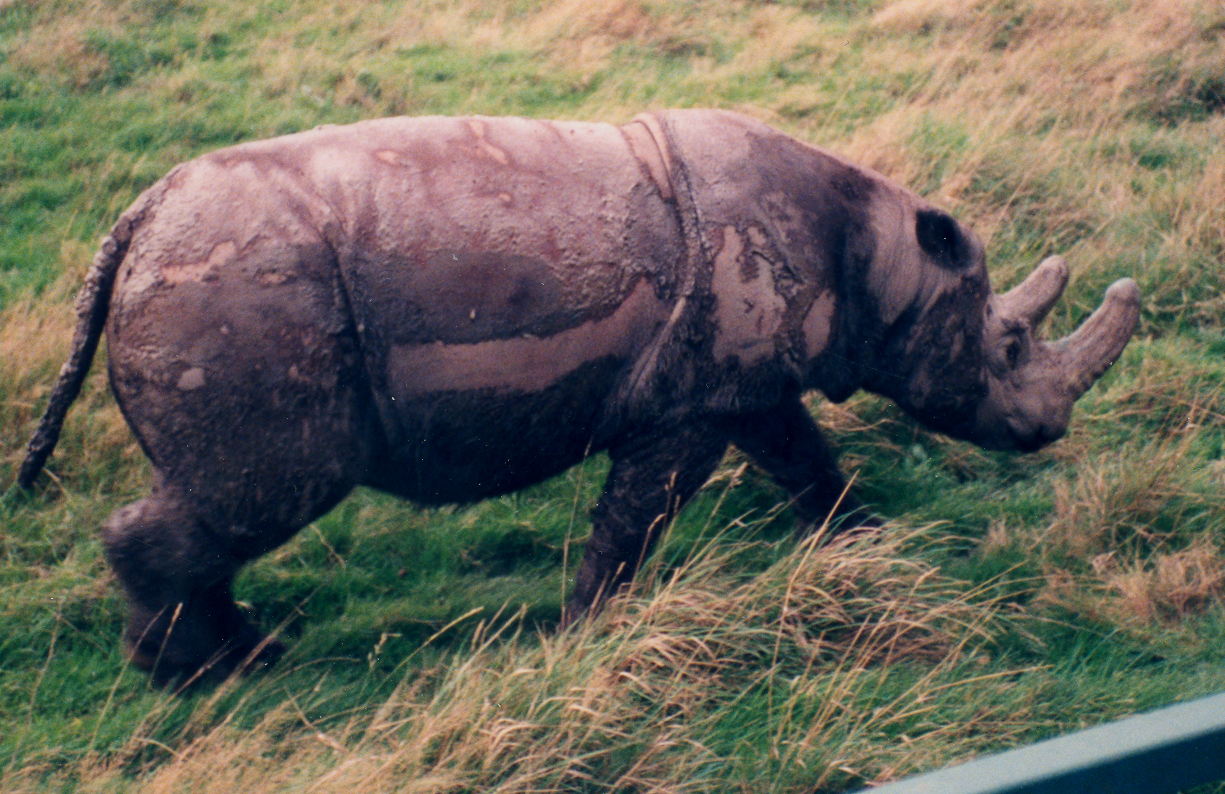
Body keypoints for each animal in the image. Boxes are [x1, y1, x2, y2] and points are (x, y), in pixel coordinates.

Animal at [18, 109, 1140, 685]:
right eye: (1008, 345)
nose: (1046, 432)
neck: (884, 261)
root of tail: (133, 224)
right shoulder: (687, 401)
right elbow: (637, 519)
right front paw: (583, 633)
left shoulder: (741, 383)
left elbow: (804, 461)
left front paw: (867, 545)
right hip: (240, 295)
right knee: (259, 496)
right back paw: (199, 678)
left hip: (213, 285)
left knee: (222, 508)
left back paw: (248, 654)